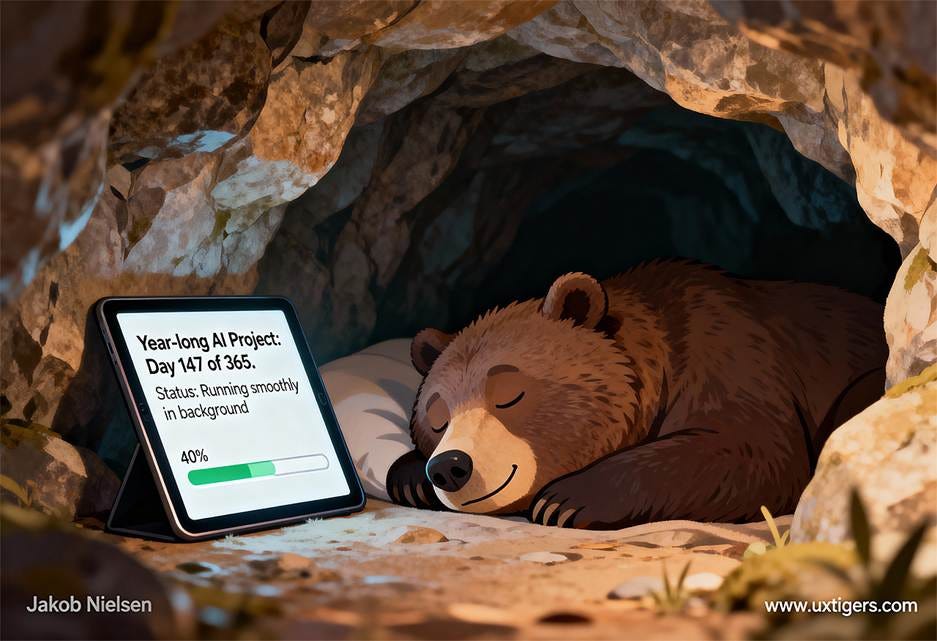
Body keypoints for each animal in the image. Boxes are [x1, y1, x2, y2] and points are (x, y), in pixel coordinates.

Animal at [386, 260, 887, 529]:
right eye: (437, 415)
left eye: (509, 392)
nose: (449, 467)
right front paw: (408, 476)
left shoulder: (730, 351)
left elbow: (754, 448)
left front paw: (564, 500)